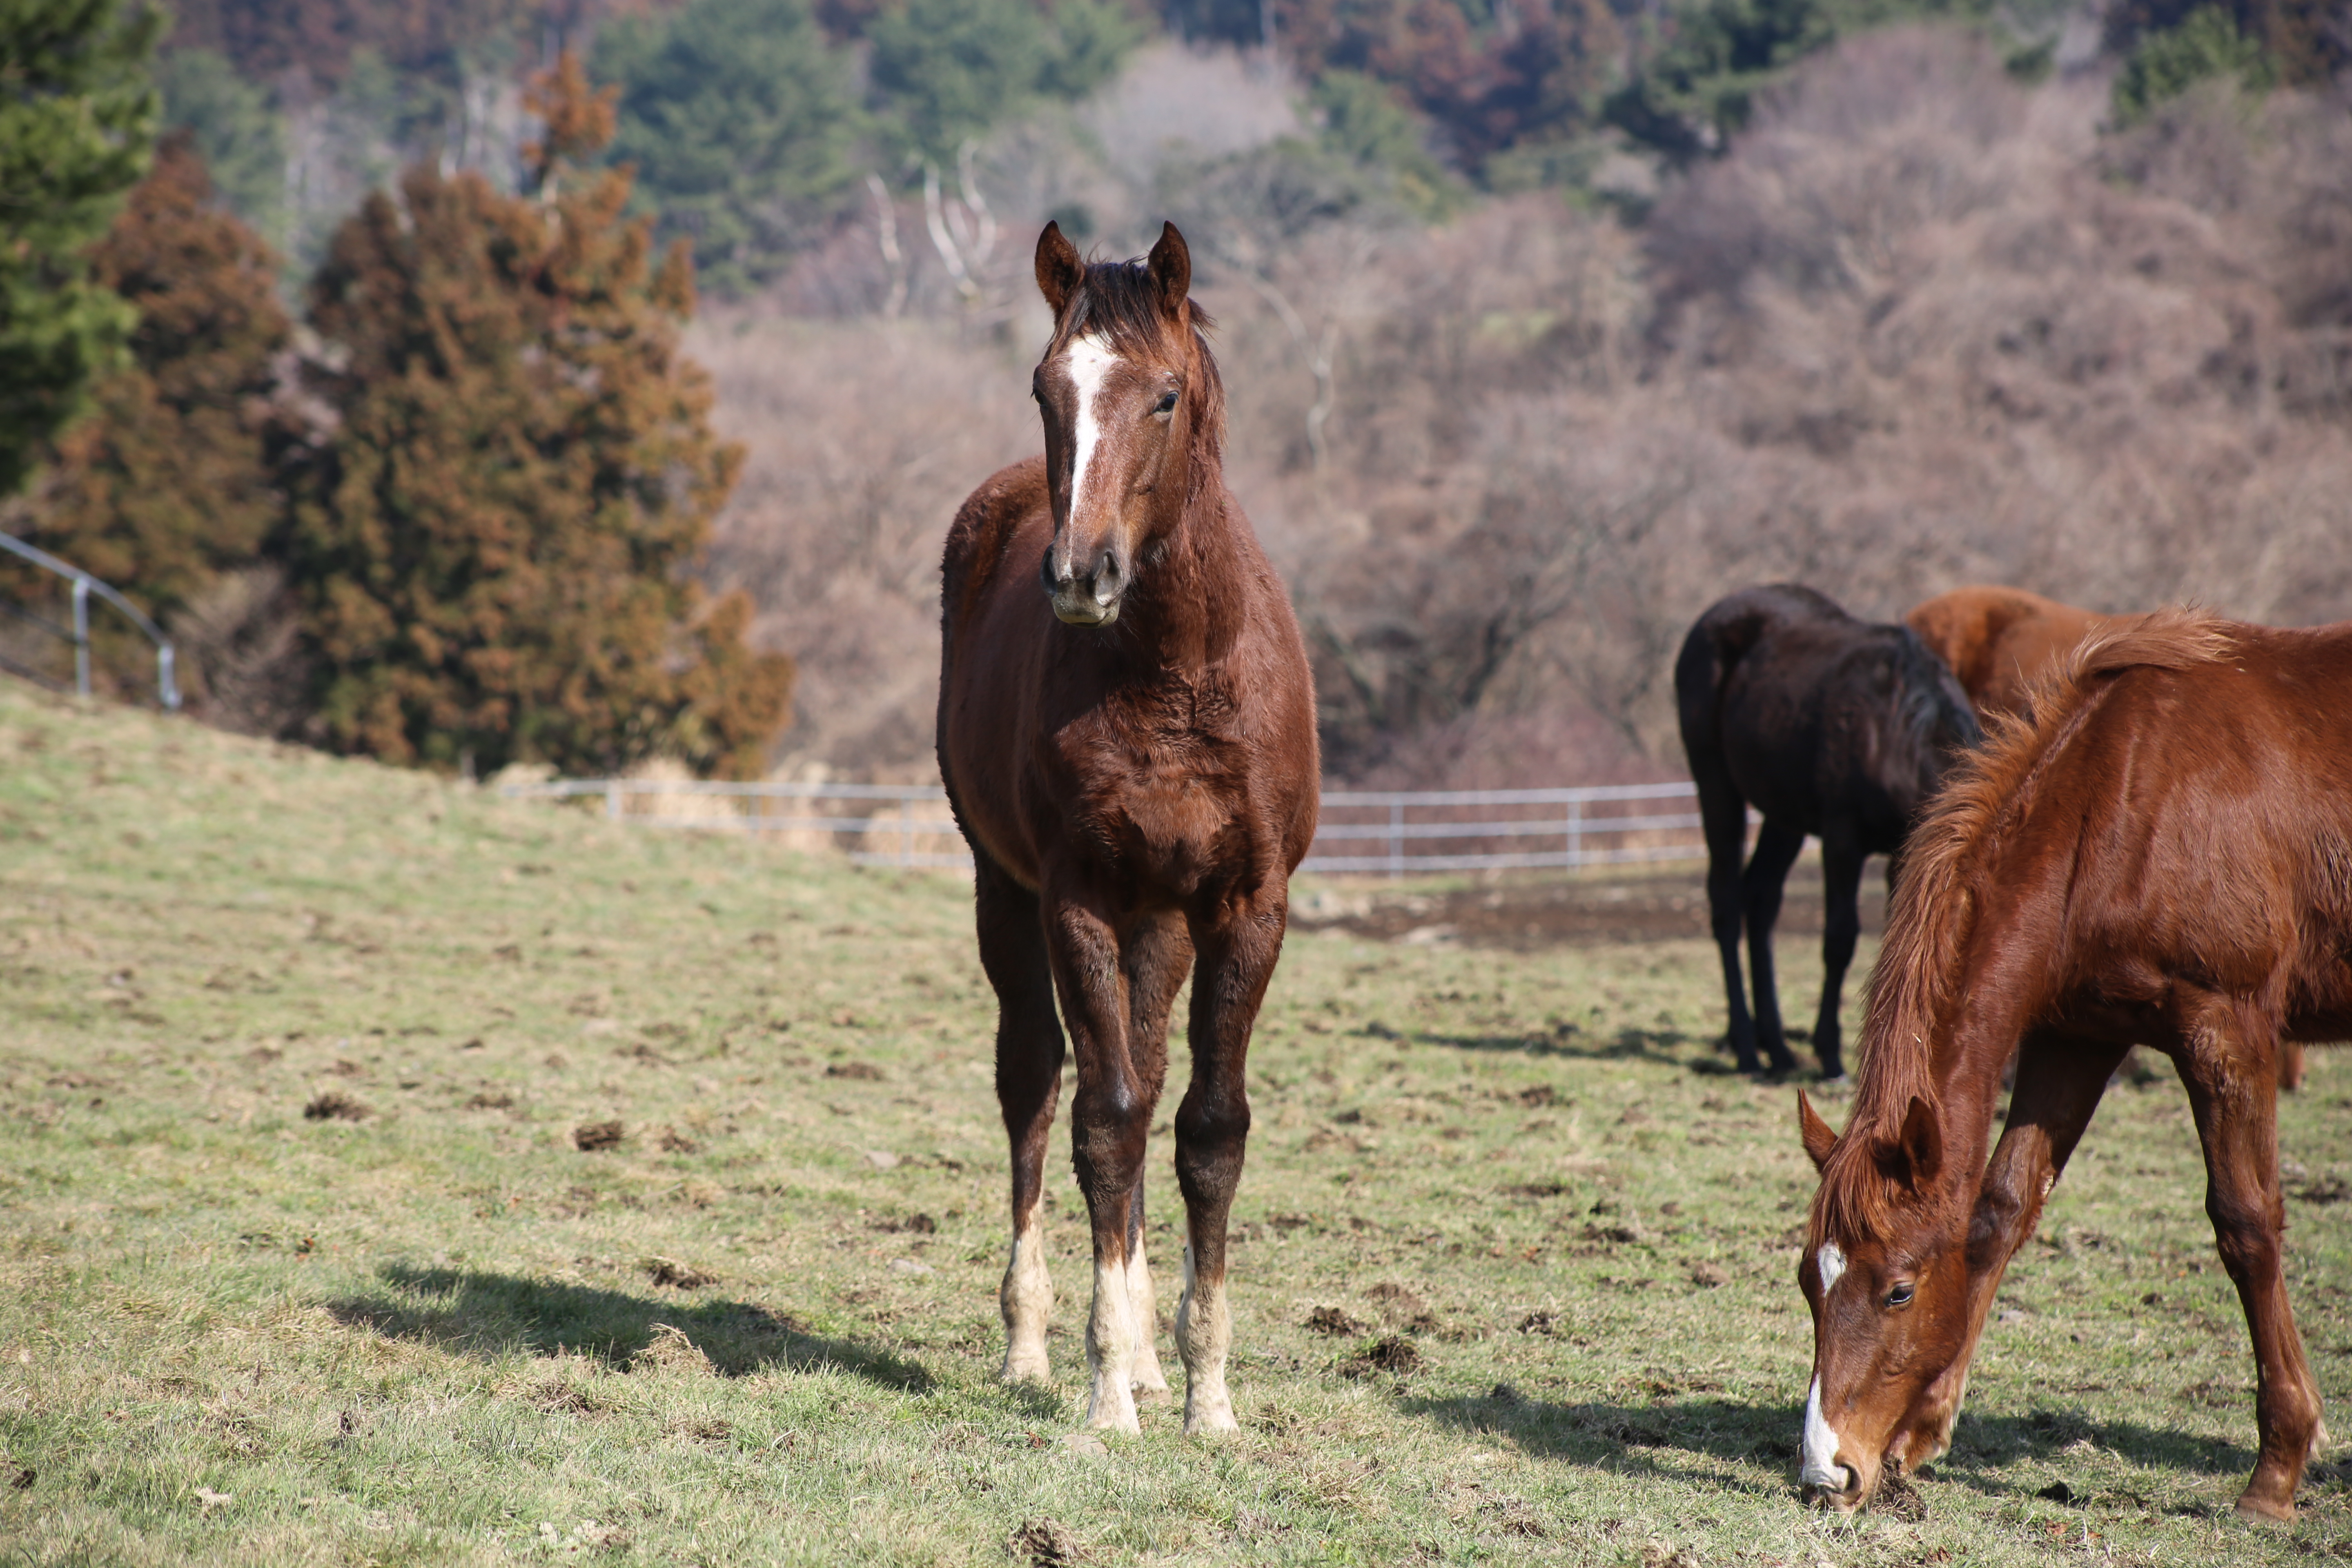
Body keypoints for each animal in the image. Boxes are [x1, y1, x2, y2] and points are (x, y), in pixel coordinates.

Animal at [931, 221, 1326, 1439]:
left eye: (1163, 396)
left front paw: (1204, 1392)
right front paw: (1110, 1393)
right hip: (1005, 894)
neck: (1175, 671)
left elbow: (1207, 1128)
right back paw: (1031, 1348)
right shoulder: (1079, 900)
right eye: (1045, 388)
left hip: (1165, 923)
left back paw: (1154, 1356)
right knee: (1034, 1082)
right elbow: (1102, 1120)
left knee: (1150, 1076)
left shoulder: (1245, 906)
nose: (1079, 573)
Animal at [1787, 611, 2342, 1523]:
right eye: (1810, 1280)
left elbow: (2247, 1224)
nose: (1827, 1471)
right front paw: (1921, 1431)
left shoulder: (2226, 1029)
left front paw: (2278, 1468)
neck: (2120, 803)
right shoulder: (2075, 1038)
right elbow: (2000, 1211)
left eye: (1898, 1289)